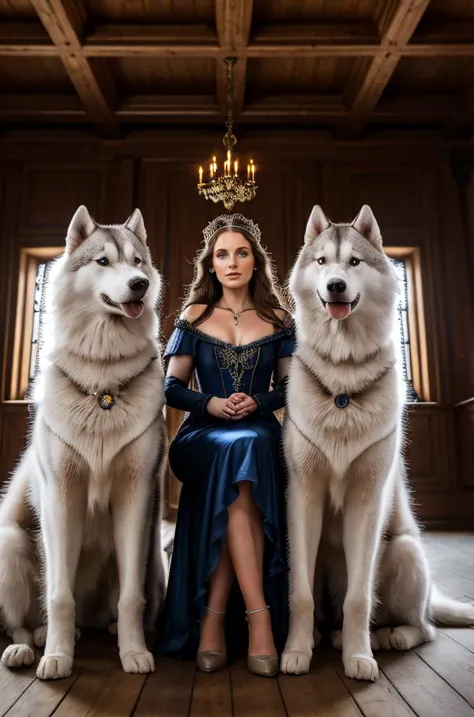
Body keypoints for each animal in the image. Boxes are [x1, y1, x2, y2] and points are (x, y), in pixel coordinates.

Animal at [0, 204, 168, 680]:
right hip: (10, 542)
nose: (140, 283)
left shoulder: (136, 498)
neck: (103, 382)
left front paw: (133, 652)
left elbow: (130, 597)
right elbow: (58, 594)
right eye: (103, 261)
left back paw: (94, 631)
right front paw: (58, 656)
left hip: (155, 561)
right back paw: (30, 646)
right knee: (21, 622)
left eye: (138, 261)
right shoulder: (61, 496)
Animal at [280, 204, 474, 680]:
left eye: (354, 262)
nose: (335, 285)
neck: (343, 382)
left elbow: (359, 595)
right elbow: (301, 593)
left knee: (425, 627)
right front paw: (296, 651)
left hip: (405, 551)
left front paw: (358, 656)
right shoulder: (303, 497)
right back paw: (324, 635)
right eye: (322, 262)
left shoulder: (367, 500)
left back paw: (389, 636)